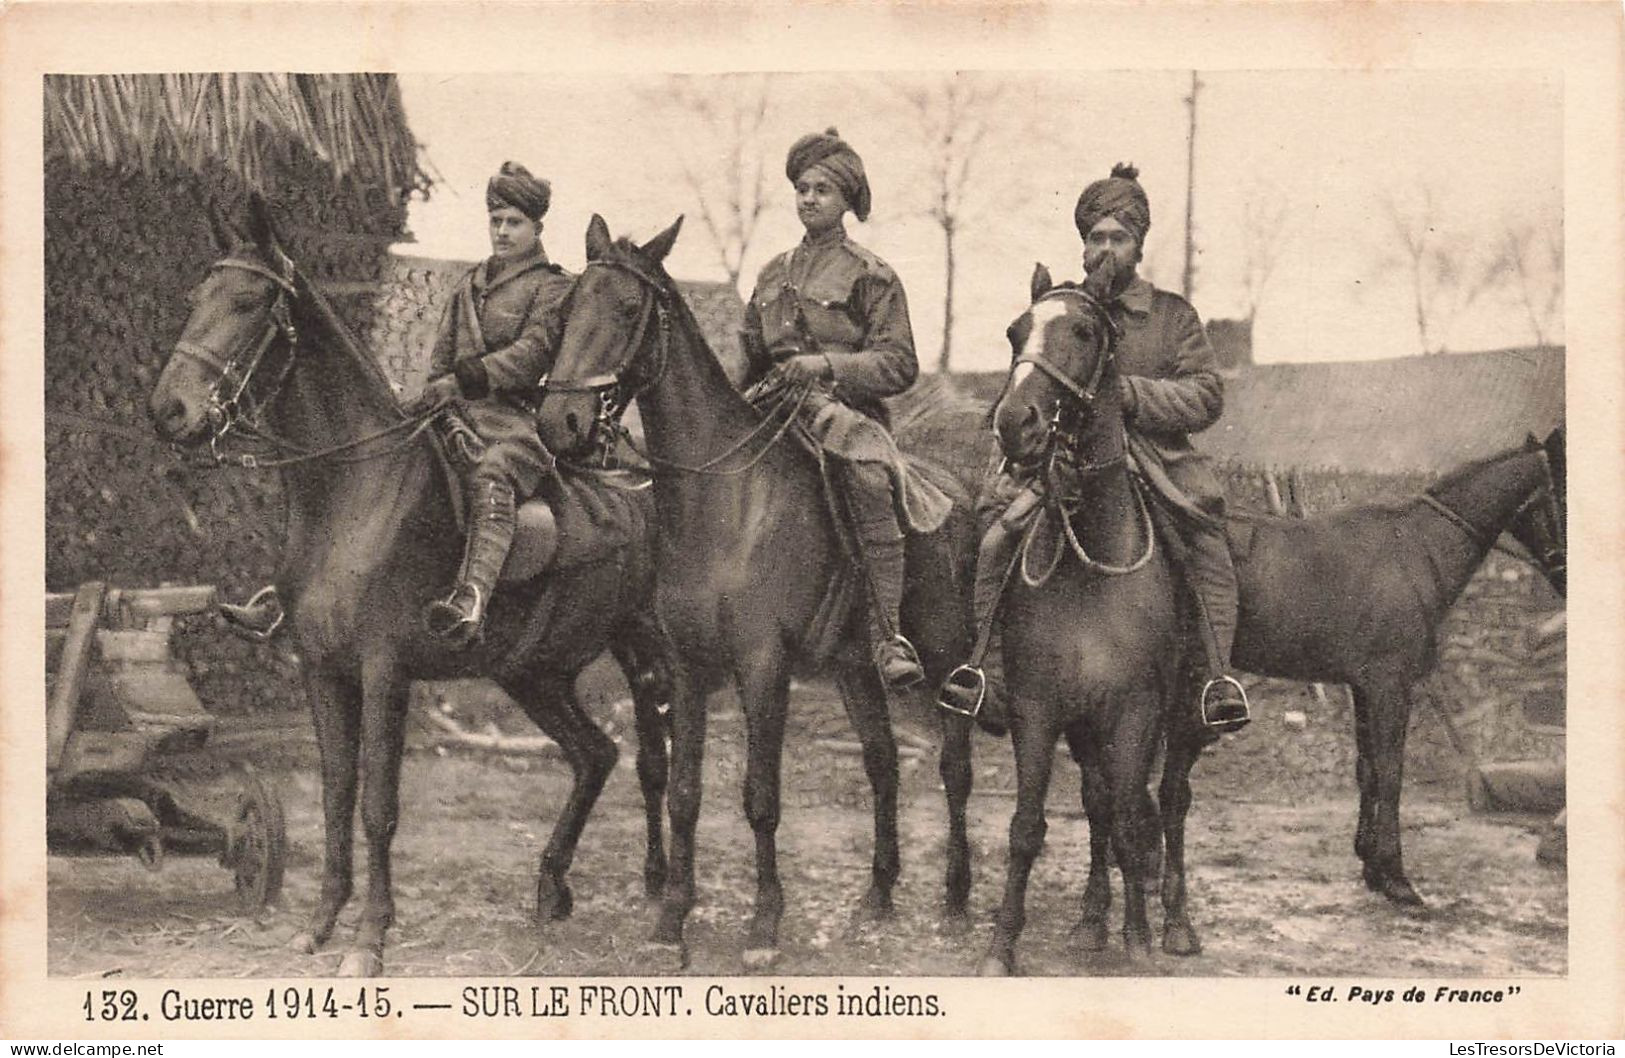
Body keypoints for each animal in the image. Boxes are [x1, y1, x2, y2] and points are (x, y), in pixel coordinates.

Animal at [143, 196, 669, 975]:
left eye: (248, 301)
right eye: (195, 297)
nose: (169, 410)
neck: (354, 488)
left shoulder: (384, 671)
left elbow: (377, 808)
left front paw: (370, 940)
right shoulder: (322, 671)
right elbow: (336, 795)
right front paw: (320, 924)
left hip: (646, 649)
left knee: (658, 758)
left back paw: (662, 888)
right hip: (532, 671)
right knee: (595, 754)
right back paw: (551, 887)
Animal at [529, 214, 975, 968]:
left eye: (627, 308)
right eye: (568, 311)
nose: (560, 424)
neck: (724, 501)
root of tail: (959, 487)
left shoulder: (763, 667)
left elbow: (760, 797)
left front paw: (764, 926)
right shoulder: (683, 666)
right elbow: (683, 793)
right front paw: (671, 919)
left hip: (947, 662)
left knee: (955, 765)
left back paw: (958, 897)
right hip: (856, 667)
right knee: (883, 763)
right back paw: (879, 893)